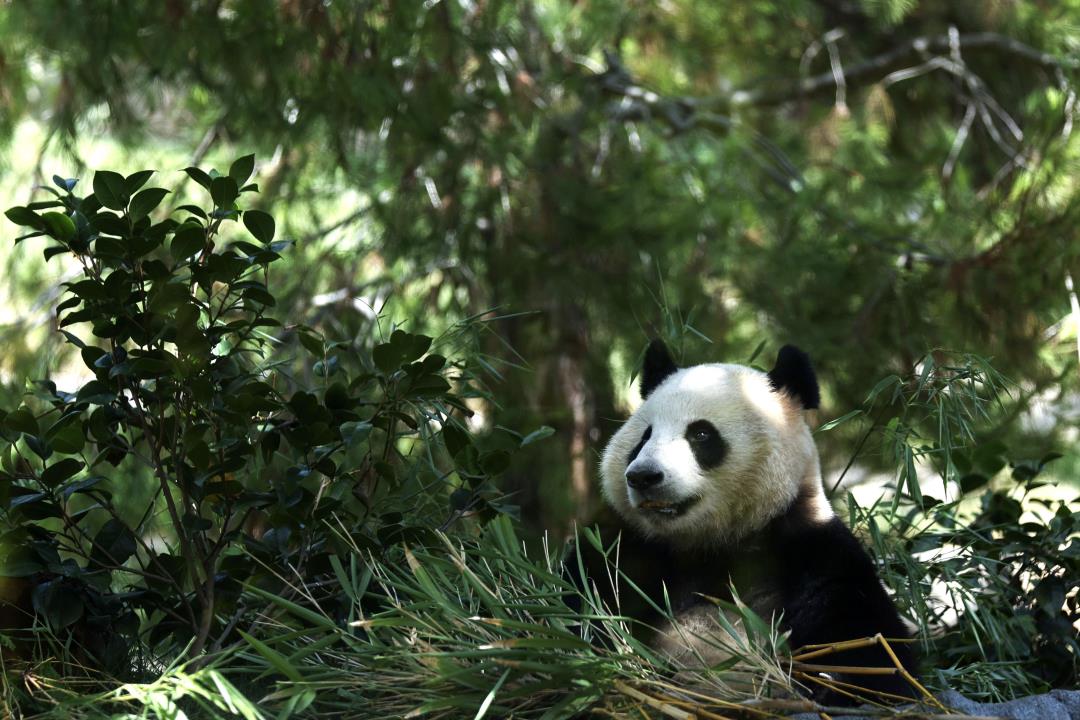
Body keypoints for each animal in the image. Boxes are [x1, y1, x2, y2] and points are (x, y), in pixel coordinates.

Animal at [583, 343, 920, 703]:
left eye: (701, 433)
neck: (713, 541)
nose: (643, 476)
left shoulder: (815, 550)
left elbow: (871, 653)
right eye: (644, 437)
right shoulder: (628, 549)